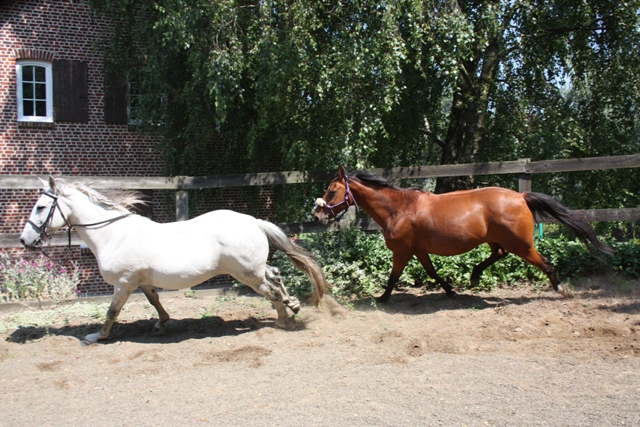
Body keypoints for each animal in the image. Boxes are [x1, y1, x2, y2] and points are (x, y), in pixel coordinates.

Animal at [20, 176, 328, 344]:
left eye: (41, 207)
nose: (25, 240)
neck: (113, 235)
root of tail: (254, 221)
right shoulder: (141, 281)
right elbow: (155, 301)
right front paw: (161, 325)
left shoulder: (123, 282)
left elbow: (111, 311)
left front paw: (97, 337)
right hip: (254, 269)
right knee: (276, 276)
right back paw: (292, 306)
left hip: (246, 274)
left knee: (271, 290)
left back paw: (284, 320)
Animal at [312, 166, 612, 302]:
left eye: (332, 190)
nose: (317, 215)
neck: (399, 208)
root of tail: (521, 196)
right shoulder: (419, 250)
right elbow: (432, 272)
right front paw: (450, 290)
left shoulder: (403, 251)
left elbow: (394, 276)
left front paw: (382, 299)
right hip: (497, 240)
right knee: (498, 254)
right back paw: (475, 275)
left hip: (522, 245)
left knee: (544, 263)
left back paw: (561, 289)